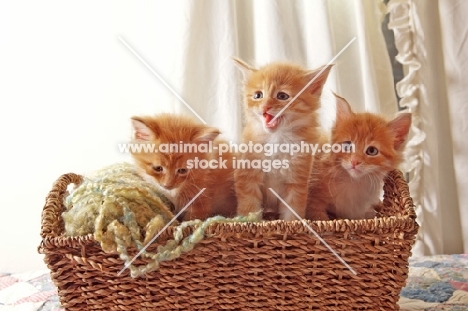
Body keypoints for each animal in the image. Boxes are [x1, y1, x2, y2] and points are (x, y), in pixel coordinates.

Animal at [234, 58, 332, 219]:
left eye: (282, 96)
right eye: (258, 95)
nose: (265, 107)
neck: (277, 140)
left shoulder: (297, 180)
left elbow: (292, 209)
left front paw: (291, 223)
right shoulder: (248, 176)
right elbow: (249, 205)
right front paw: (250, 221)